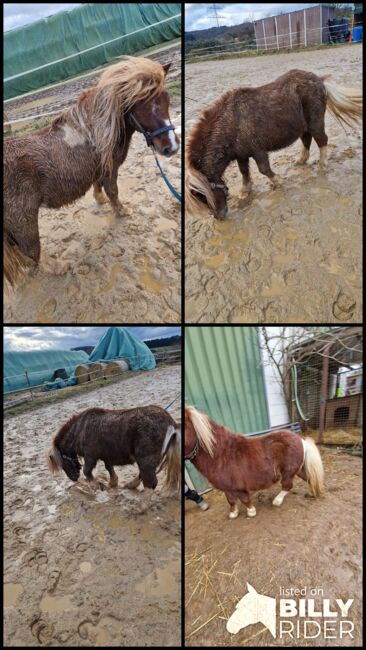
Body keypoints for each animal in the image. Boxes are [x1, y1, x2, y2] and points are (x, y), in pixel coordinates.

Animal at [3, 57, 179, 284]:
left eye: (166, 99)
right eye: (142, 103)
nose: (171, 147)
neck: (94, 131)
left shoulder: (100, 168)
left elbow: (98, 186)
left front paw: (99, 199)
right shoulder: (110, 169)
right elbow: (113, 191)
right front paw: (122, 210)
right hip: (23, 222)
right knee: (32, 251)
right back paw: (58, 267)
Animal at [48, 404, 180, 502]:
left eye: (63, 463)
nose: (73, 478)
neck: (81, 431)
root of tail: (171, 423)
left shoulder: (90, 456)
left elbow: (87, 471)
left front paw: (95, 486)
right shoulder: (106, 456)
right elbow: (109, 467)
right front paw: (112, 483)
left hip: (145, 457)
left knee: (150, 480)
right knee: (144, 474)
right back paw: (130, 485)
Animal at [184, 402, 324, 520]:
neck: (220, 454)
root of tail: (301, 440)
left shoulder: (239, 487)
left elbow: (244, 499)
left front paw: (251, 512)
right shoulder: (226, 488)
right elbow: (231, 500)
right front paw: (233, 513)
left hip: (288, 472)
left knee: (287, 486)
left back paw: (277, 501)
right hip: (298, 469)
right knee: (309, 478)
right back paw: (312, 493)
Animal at [186, 70, 364, 219]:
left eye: (204, 196)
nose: (219, 216)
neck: (232, 122)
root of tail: (319, 80)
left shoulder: (258, 151)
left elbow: (264, 169)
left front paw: (278, 181)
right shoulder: (242, 155)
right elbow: (244, 172)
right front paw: (245, 191)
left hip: (315, 123)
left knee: (322, 140)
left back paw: (322, 165)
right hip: (303, 127)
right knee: (307, 140)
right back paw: (301, 161)